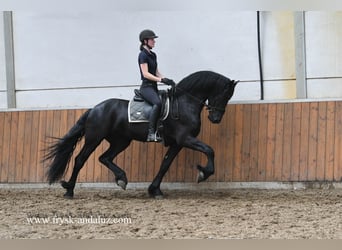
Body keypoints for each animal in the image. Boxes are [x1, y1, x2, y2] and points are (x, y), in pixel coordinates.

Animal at [44, 71, 238, 199]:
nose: (215, 119)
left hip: (121, 141)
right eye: (225, 95)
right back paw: (69, 190)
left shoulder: (177, 143)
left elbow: (165, 164)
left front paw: (155, 190)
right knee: (80, 160)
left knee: (104, 158)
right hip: (94, 139)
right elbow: (210, 150)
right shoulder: (185, 139)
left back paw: (121, 179)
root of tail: (94, 109)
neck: (185, 103)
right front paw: (203, 173)